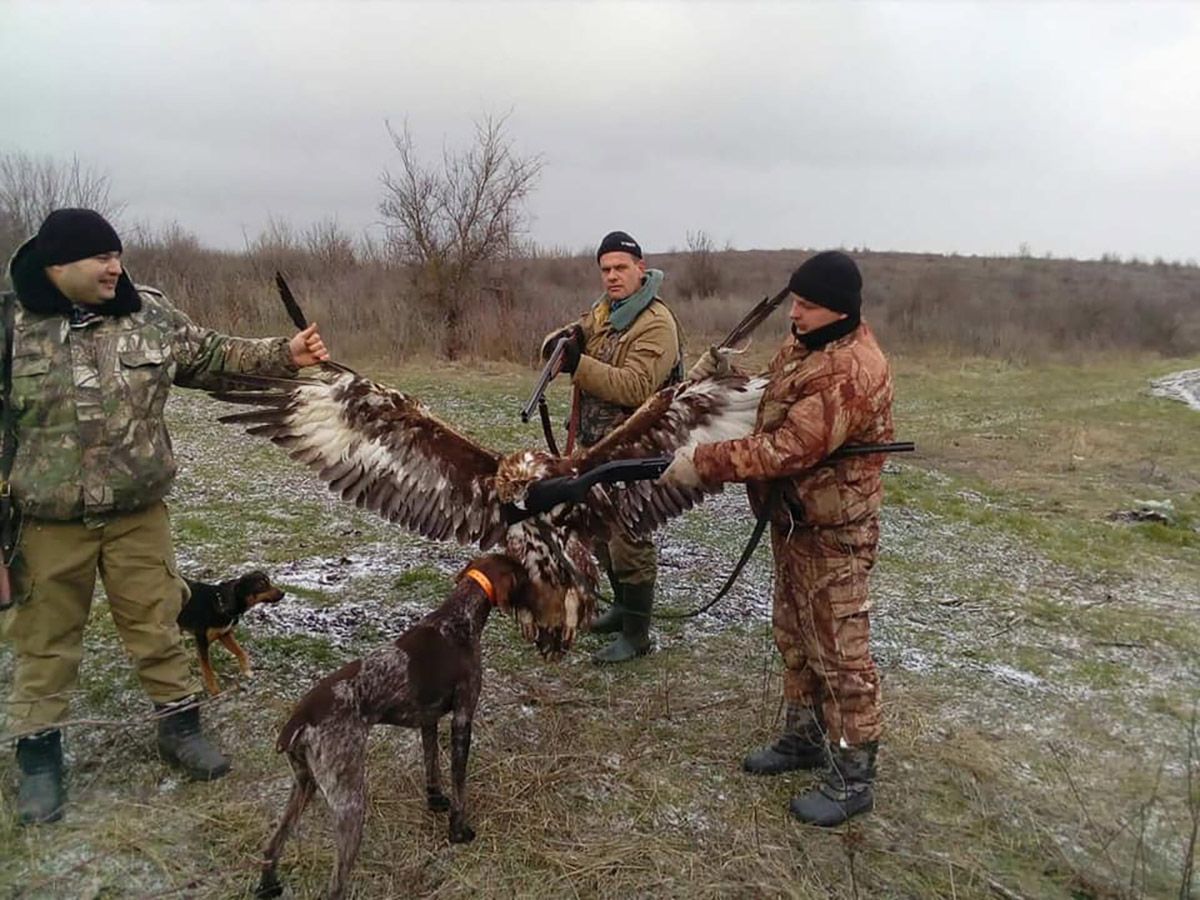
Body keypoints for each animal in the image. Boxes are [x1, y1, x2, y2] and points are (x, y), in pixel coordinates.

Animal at [255, 554, 528, 897]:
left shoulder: (429, 719)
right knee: (335, 886)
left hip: (304, 784)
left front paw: (435, 801)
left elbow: (432, 765)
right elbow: (459, 783)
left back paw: (267, 885)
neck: (459, 617)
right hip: (350, 802)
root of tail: (299, 719)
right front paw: (458, 831)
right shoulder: (463, 717)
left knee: (273, 844)